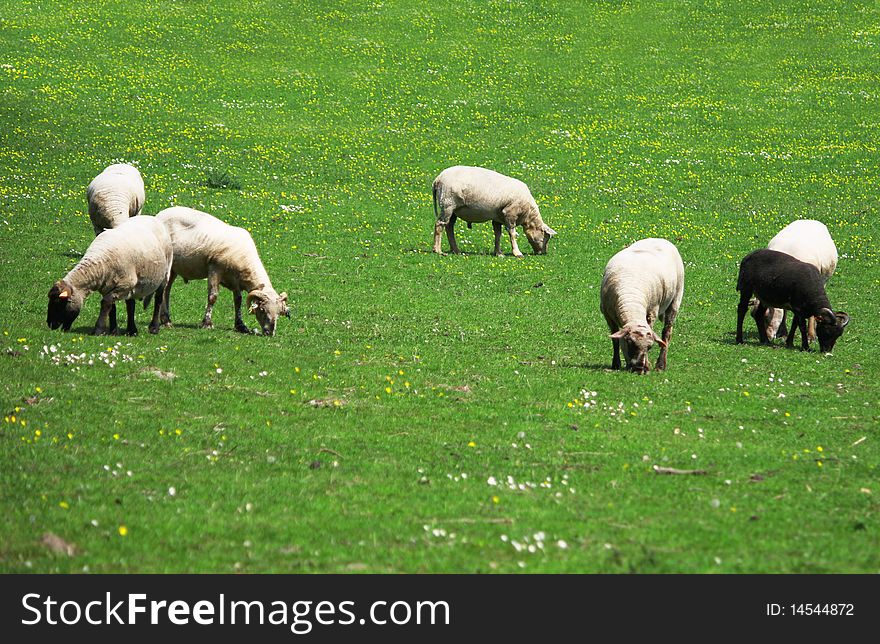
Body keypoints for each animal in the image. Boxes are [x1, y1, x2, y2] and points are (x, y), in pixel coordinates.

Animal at [152, 206, 288, 338]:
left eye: (279, 312)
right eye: (263, 310)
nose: (270, 333)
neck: (245, 260)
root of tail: (160, 214)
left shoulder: (235, 280)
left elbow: (238, 300)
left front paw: (240, 325)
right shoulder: (215, 269)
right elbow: (213, 297)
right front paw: (207, 323)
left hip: (174, 268)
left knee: (167, 290)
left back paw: (165, 319)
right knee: (164, 289)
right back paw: (166, 321)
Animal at [600, 239, 688, 372]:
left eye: (649, 348)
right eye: (630, 342)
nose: (639, 368)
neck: (632, 299)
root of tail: (661, 239)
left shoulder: (651, 312)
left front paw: (648, 364)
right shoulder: (607, 315)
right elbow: (615, 340)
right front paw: (616, 364)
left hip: (676, 299)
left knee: (667, 332)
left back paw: (661, 365)